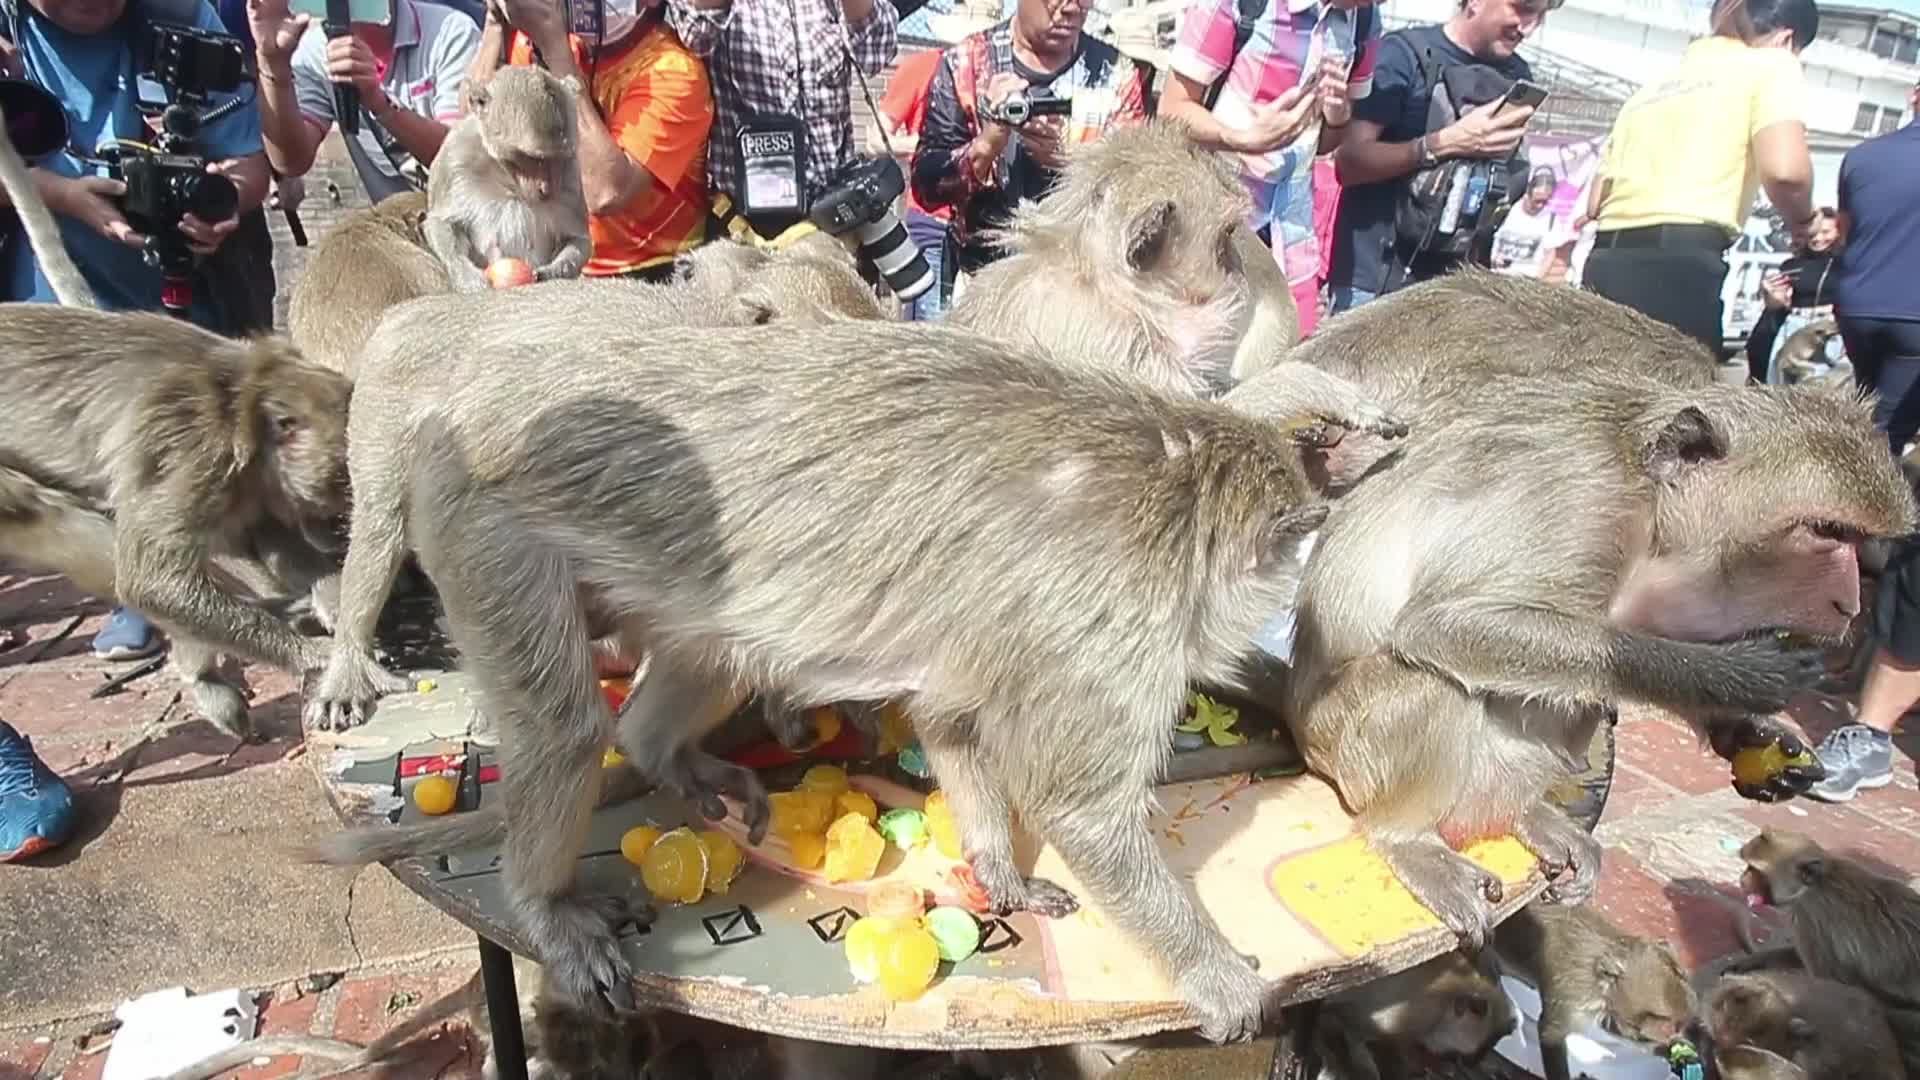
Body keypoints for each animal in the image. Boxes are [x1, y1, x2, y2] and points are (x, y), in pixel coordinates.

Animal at [302, 317, 1400, 1042]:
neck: (1186, 480)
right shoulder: (1117, 615)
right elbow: (1081, 807)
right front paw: (1216, 977)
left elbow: (954, 720)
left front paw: (998, 866)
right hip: (481, 525)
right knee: (568, 726)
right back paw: (546, 896)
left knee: (709, 651)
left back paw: (666, 754)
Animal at [426, 65, 592, 293]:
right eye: (535, 158)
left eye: (558, 158)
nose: (547, 188)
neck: (506, 179)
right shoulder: (455, 157)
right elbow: (442, 222)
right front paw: (467, 276)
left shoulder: (570, 175)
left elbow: (577, 238)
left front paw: (555, 270)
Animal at [1283, 280, 1917, 950]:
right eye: (1826, 532)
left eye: (1853, 537)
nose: (1850, 601)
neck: (1656, 521)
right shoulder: (1584, 504)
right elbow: (1448, 625)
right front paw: (1739, 677)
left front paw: (1745, 731)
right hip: (1346, 744)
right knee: (1433, 679)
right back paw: (1408, 838)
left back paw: (1523, 813)